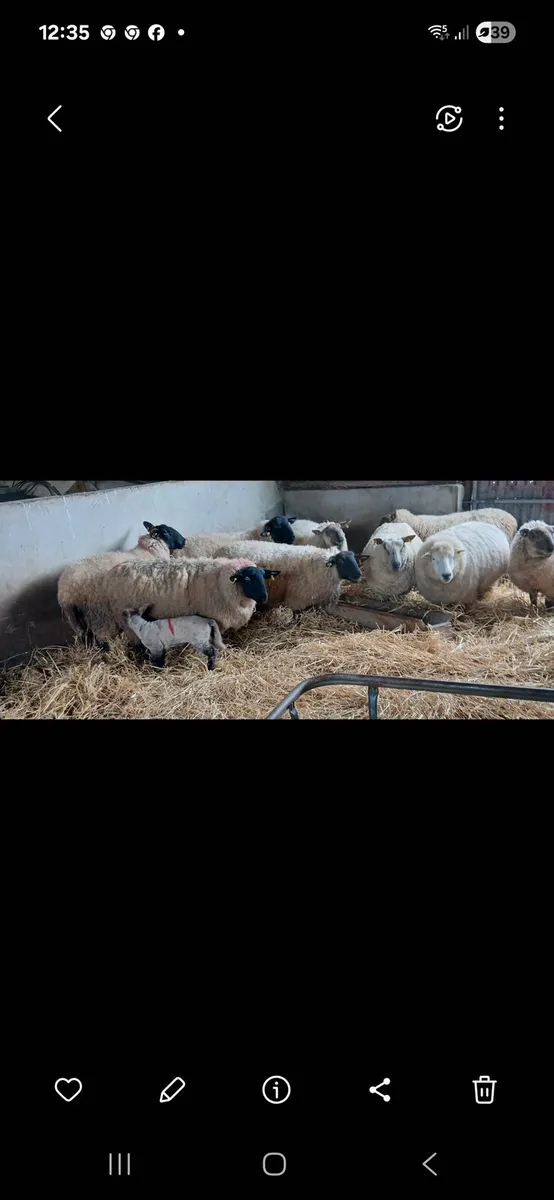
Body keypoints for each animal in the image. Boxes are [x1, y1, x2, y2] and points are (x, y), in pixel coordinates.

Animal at [78, 556, 281, 641]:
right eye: (247, 578)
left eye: (264, 576)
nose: (264, 597)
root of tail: (110, 574)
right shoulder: (216, 619)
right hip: (125, 618)